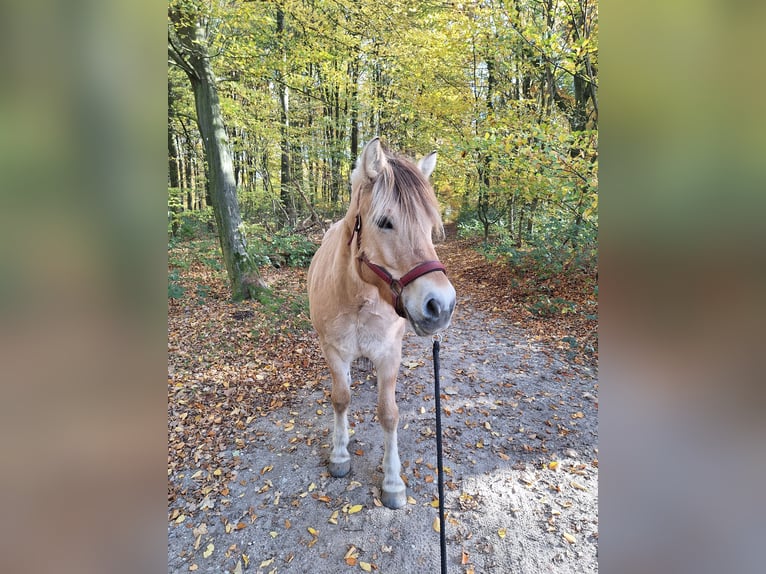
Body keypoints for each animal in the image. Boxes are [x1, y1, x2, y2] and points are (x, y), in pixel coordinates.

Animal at [307, 137, 456, 509]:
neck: (359, 297)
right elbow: (340, 398)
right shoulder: (333, 351)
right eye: (385, 222)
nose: (441, 305)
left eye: (430, 226)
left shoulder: (389, 355)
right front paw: (340, 454)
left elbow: (389, 414)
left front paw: (392, 482)